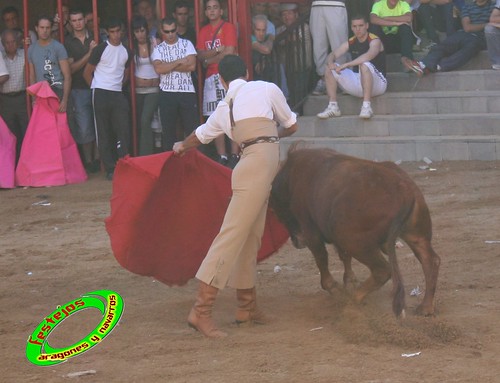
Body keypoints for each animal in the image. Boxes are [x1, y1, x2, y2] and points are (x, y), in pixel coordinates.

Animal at [270, 147, 442, 318]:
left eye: (279, 213)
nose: (297, 242)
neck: (291, 178)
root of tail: (404, 190)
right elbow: (344, 256)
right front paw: (350, 282)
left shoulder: (311, 231)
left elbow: (321, 258)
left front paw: (334, 287)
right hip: (416, 235)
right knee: (430, 260)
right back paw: (426, 306)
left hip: (352, 240)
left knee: (382, 270)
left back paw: (354, 299)